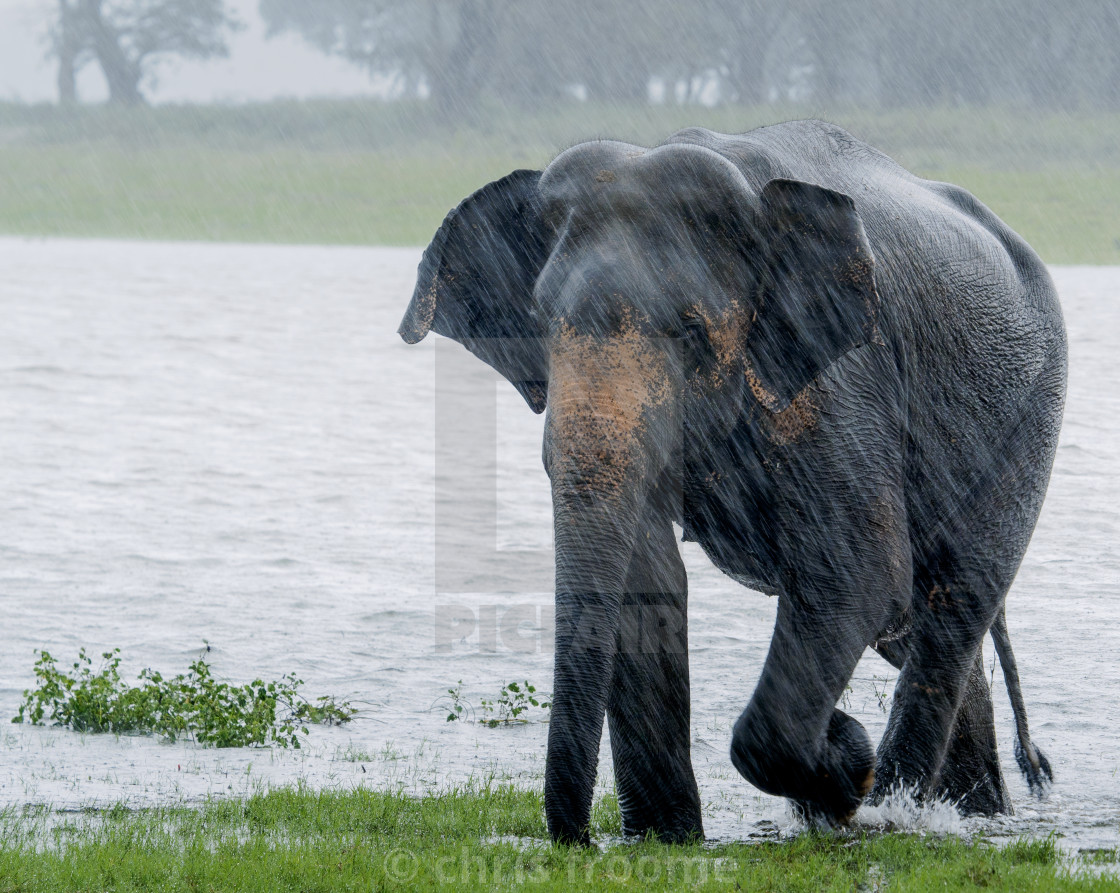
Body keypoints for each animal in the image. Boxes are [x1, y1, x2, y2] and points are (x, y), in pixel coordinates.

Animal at [398, 120, 1061, 842]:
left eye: (692, 333)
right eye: (543, 325)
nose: (580, 839)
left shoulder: (843, 381)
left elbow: (856, 574)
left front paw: (844, 764)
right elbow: (649, 579)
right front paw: (666, 837)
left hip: (1028, 416)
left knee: (951, 607)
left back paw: (897, 809)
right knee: (917, 631)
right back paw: (970, 811)